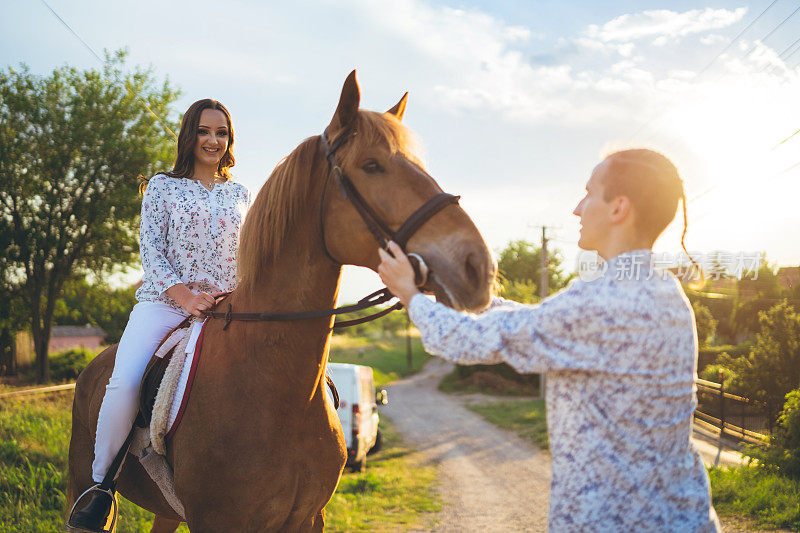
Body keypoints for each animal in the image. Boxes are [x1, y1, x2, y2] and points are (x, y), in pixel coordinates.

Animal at [69, 71, 494, 532]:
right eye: (372, 165)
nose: (477, 265)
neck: (273, 386)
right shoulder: (218, 520)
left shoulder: (308, 518)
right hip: (79, 480)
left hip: (168, 511)